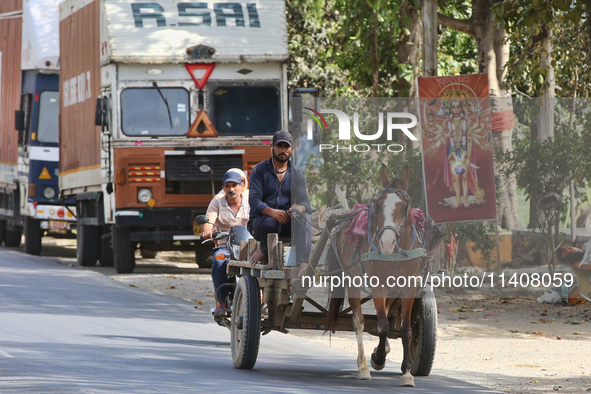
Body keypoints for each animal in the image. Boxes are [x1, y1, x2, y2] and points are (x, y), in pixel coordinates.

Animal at [326, 164, 438, 388]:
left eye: (405, 206)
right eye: (377, 205)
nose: (386, 243)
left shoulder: (409, 286)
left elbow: (405, 329)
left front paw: (407, 372)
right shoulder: (378, 285)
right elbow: (382, 325)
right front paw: (378, 358)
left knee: (386, 312)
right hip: (352, 278)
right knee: (359, 320)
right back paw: (363, 366)